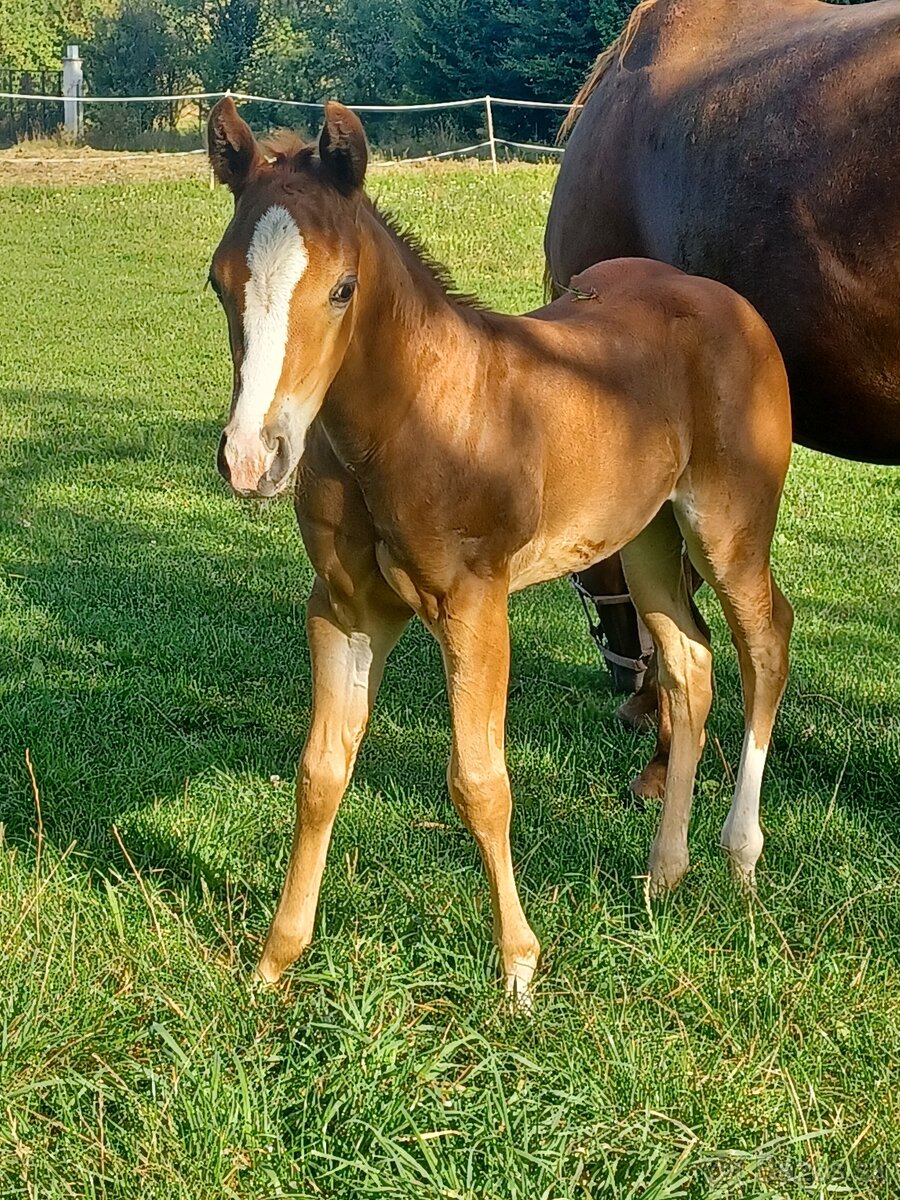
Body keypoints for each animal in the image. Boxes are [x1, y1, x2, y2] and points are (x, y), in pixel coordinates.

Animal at [206, 96, 794, 1002]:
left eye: (343, 289)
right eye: (219, 281)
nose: (249, 458)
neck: (410, 416)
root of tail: (738, 308)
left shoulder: (474, 605)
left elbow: (480, 782)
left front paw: (518, 966)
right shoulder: (343, 609)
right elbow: (320, 771)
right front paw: (276, 959)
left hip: (727, 525)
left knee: (764, 644)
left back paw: (740, 854)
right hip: (647, 537)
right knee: (689, 664)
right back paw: (664, 872)